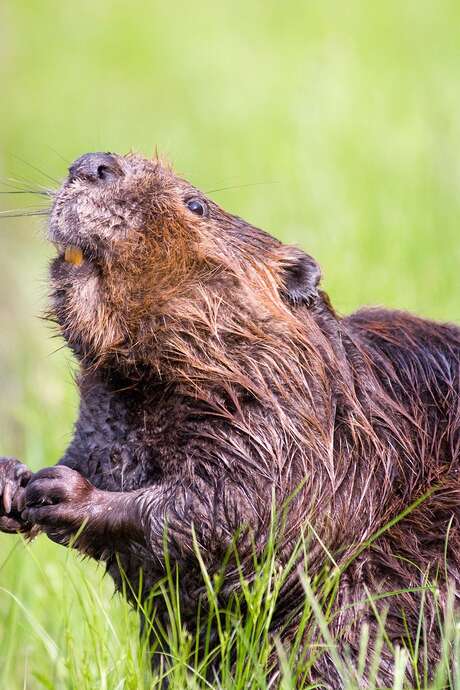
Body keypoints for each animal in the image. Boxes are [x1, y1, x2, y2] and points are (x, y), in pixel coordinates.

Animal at [0, 153, 460, 684]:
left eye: (196, 204)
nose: (93, 163)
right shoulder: (106, 420)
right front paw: (12, 479)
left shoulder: (291, 424)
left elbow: (243, 512)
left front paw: (61, 492)